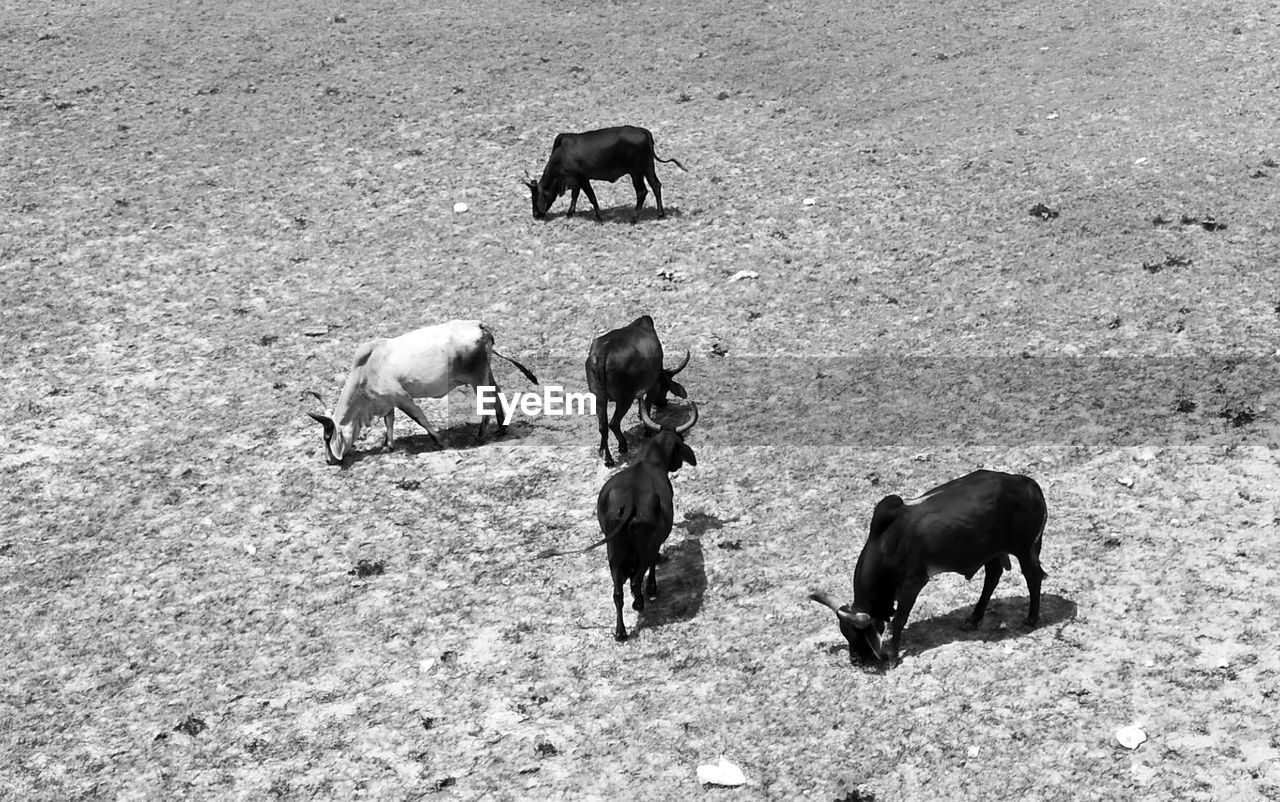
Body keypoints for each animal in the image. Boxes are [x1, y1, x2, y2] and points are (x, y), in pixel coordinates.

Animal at [522, 127, 686, 223]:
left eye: (534, 197)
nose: (535, 215)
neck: (562, 154)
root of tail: (643, 131)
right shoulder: (576, 180)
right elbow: (575, 196)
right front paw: (570, 213)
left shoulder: (583, 178)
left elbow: (591, 197)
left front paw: (600, 217)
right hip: (648, 167)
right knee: (656, 186)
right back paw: (660, 214)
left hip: (636, 172)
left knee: (642, 191)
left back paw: (633, 218)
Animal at [537, 404, 706, 642]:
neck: (649, 463)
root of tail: (630, 503)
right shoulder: (655, 543)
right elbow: (653, 564)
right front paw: (652, 588)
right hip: (641, 550)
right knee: (635, 580)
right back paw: (639, 604)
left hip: (613, 555)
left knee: (617, 593)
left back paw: (620, 631)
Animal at [586, 312, 691, 465]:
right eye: (665, 388)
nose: (663, 403)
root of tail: (604, 353)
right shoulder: (652, 384)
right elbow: (646, 405)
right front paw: (647, 430)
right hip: (625, 399)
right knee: (613, 423)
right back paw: (622, 447)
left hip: (599, 397)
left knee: (603, 426)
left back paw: (607, 457)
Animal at [808, 470, 1049, 665]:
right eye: (845, 634)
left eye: (859, 635)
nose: (855, 660)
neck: (885, 543)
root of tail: (1026, 483)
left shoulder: (913, 581)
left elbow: (899, 619)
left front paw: (893, 657)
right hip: (990, 551)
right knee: (993, 576)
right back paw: (973, 619)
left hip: (1024, 549)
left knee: (1033, 577)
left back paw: (1031, 619)